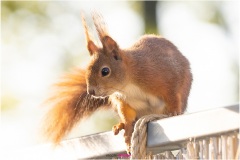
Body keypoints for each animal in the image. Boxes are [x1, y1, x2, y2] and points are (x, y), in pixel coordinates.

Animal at [41, 13, 193, 154]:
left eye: (105, 71)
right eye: (87, 69)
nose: (91, 91)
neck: (128, 84)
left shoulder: (167, 77)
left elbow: (173, 94)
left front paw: (174, 111)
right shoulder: (123, 99)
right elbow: (127, 114)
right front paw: (127, 130)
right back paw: (120, 125)